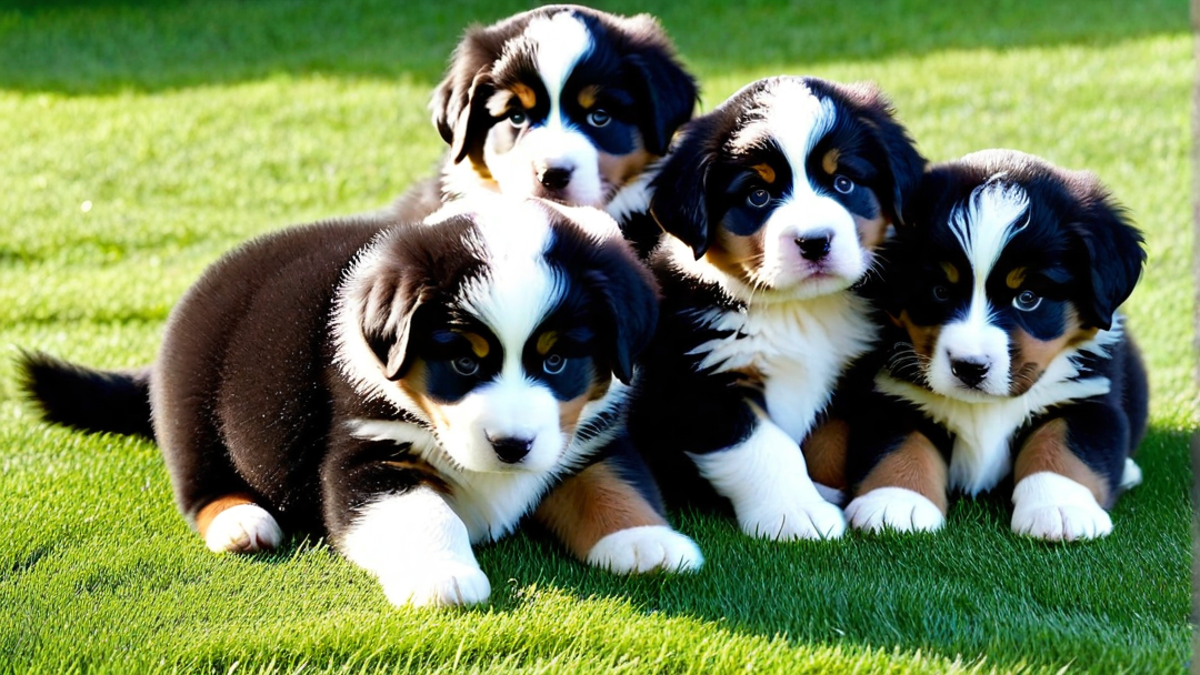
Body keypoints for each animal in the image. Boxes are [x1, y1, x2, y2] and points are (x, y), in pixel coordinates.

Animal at [18, 196, 700, 607]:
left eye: (557, 361)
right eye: (463, 362)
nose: (512, 446)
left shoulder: (592, 437)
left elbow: (614, 485)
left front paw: (646, 543)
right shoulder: (369, 456)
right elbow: (424, 513)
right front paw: (441, 575)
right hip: (194, 410)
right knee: (200, 484)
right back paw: (241, 522)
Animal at [628, 76, 926, 540]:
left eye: (843, 183)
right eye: (758, 195)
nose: (814, 241)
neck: (797, 309)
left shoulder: (850, 373)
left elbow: (827, 442)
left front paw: (823, 493)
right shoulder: (701, 377)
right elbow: (765, 448)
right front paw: (797, 514)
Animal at [840, 149, 1147, 538]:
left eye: (1028, 297)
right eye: (940, 291)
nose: (969, 367)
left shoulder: (1088, 397)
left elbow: (1063, 449)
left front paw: (1060, 508)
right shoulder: (889, 393)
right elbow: (901, 445)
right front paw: (895, 503)